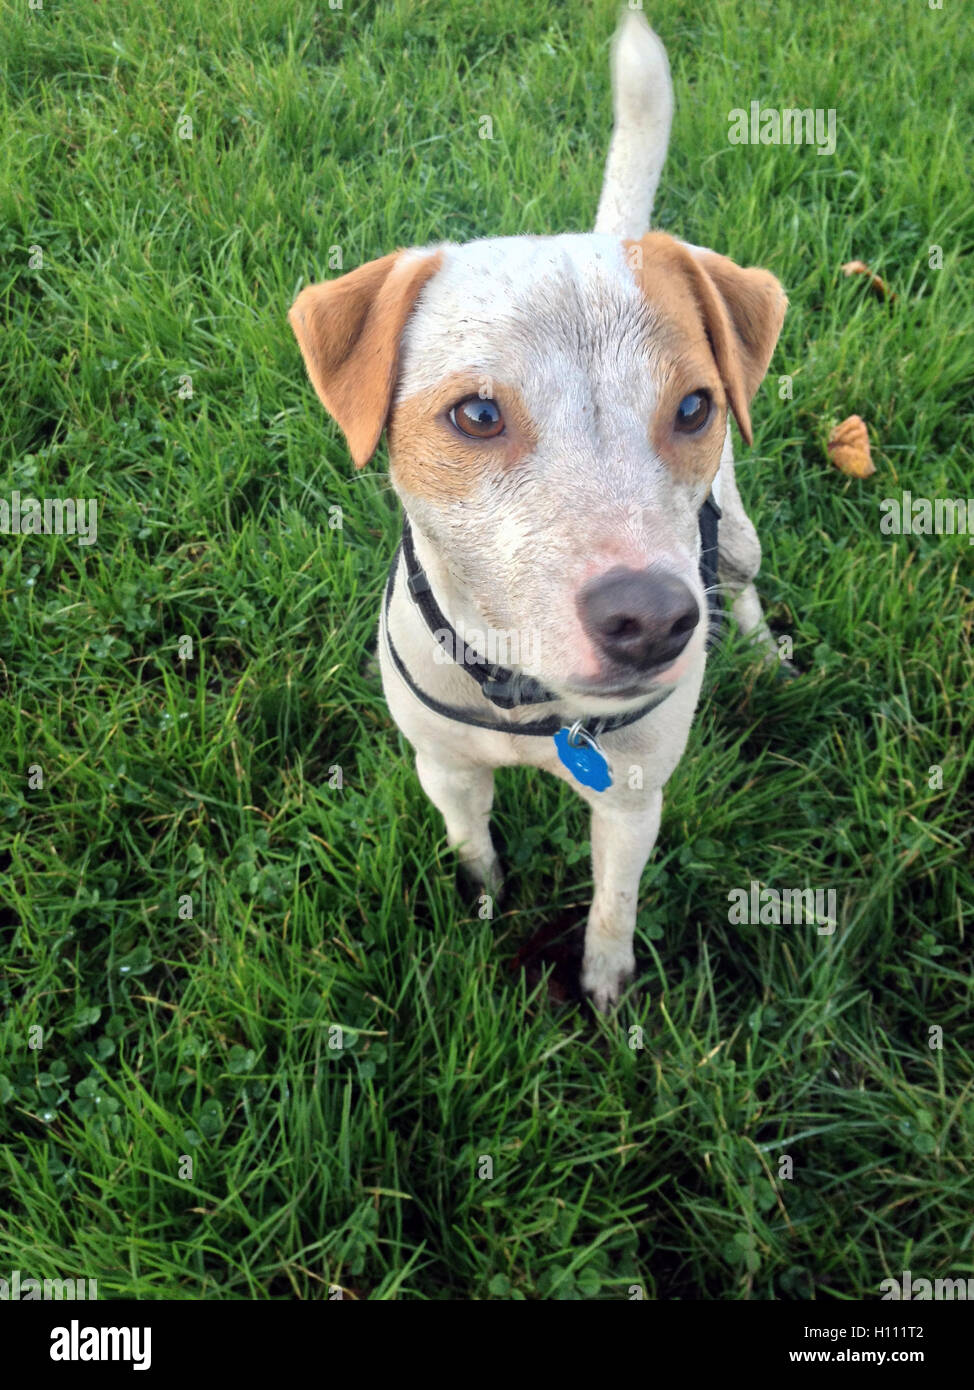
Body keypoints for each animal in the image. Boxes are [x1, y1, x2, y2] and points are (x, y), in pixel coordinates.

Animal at [286, 10, 783, 1011]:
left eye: (693, 407)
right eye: (477, 415)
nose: (652, 621)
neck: (529, 700)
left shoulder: (631, 801)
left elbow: (613, 910)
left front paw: (605, 995)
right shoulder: (444, 769)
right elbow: (472, 847)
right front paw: (481, 906)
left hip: (737, 530)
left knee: (746, 576)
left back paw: (759, 650)